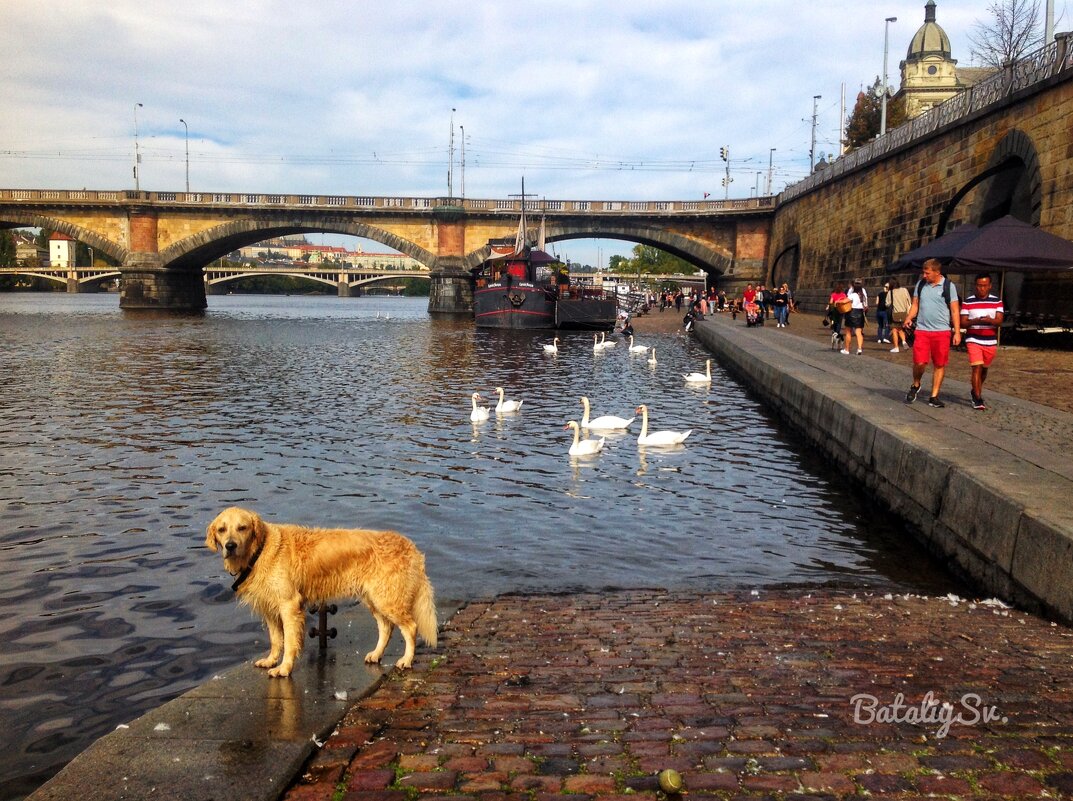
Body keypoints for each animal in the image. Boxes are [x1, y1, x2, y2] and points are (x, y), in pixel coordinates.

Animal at [204, 508, 435, 677]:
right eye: (222, 529)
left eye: (242, 528)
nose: (230, 546)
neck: (260, 551)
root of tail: (411, 546)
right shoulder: (270, 608)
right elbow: (276, 640)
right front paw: (270, 660)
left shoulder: (289, 605)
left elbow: (289, 641)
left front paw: (284, 669)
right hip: (375, 599)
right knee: (386, 628)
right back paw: (376, 655)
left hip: (387, 599)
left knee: (410, 627)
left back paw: (406, 660)